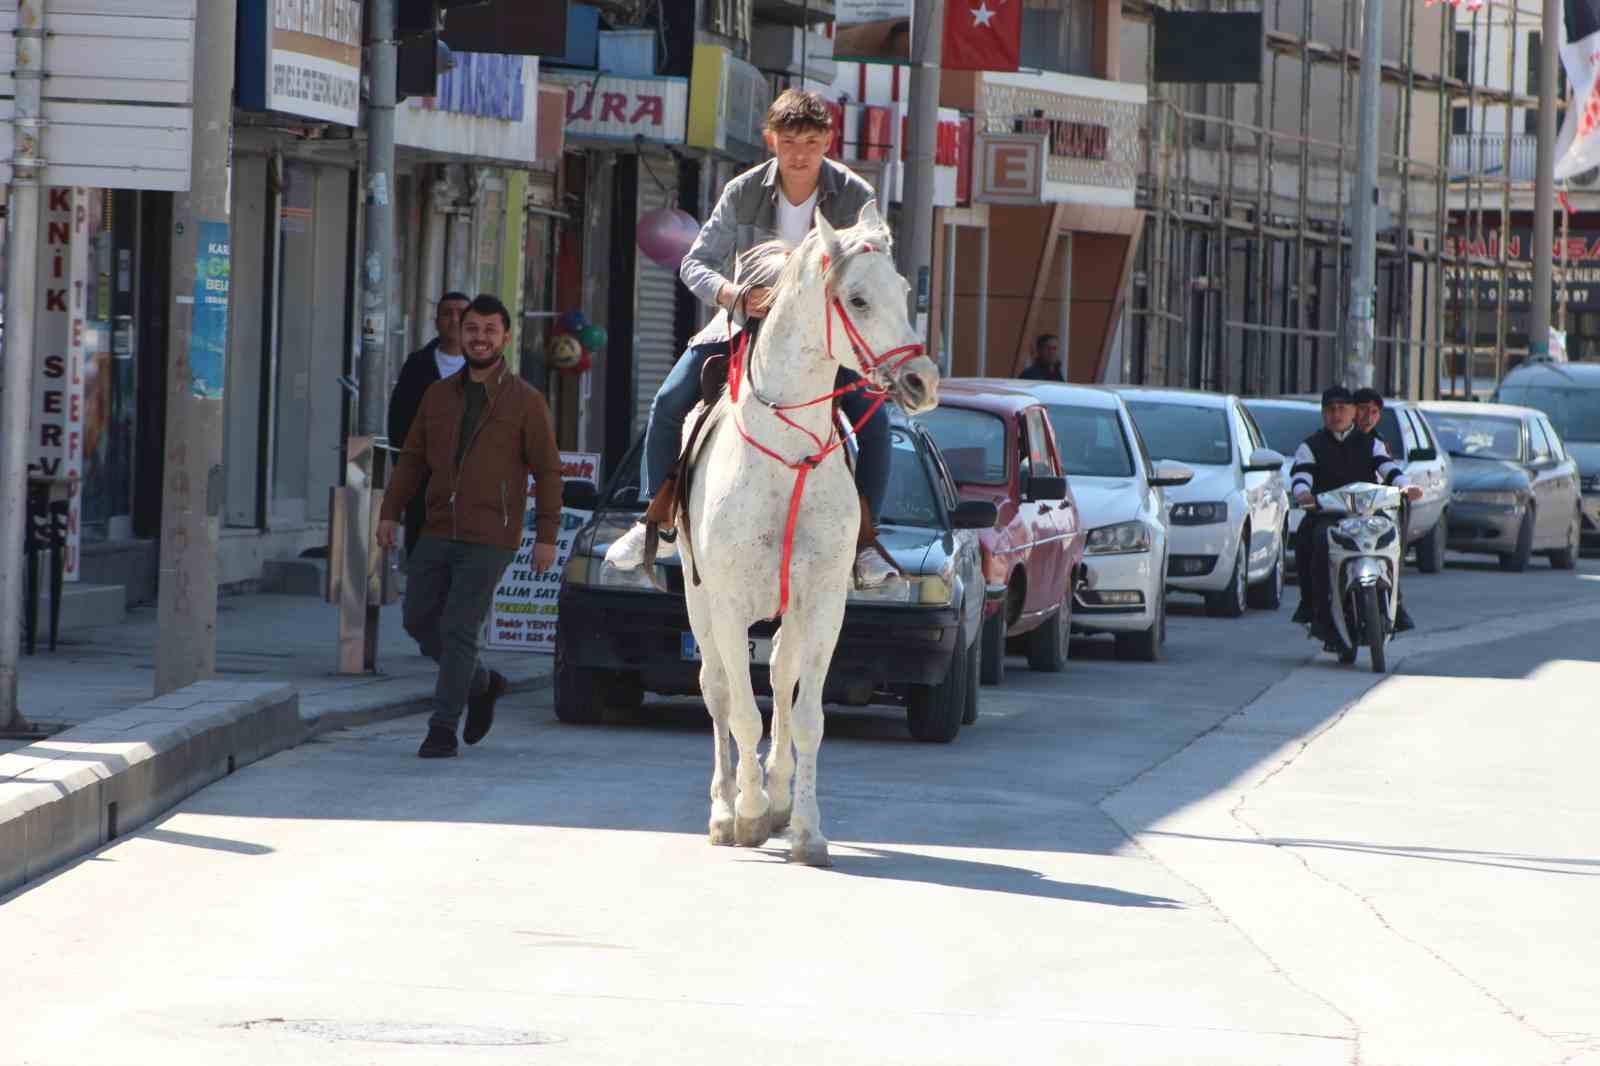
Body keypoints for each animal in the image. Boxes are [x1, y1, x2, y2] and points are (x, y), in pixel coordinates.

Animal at [672, 199, 934, 864]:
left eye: (904, 290)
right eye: (858, 299)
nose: (923, 383)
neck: (788, 459)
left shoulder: (822, 602)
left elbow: (807, 714)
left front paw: (806, 828)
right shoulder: (728, 604)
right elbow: (742, 713)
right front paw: (747, 813)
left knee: (780, 677)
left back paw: (779, 797)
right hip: (697, 599)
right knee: (717, 689)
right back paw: (725, 809)